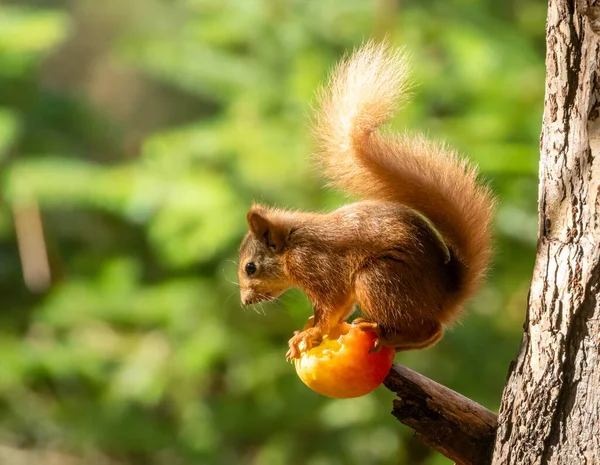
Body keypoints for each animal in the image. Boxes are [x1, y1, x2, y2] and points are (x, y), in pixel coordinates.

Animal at [237, 40, 494, 358]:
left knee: (430, 329)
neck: (291, 246)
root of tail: (446, 296)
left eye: (250, 267)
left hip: (378, 279)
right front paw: (306, 330)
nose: (245, 301)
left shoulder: (317, 266)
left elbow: (332, 306)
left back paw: (385, 334)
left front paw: (311, 333)